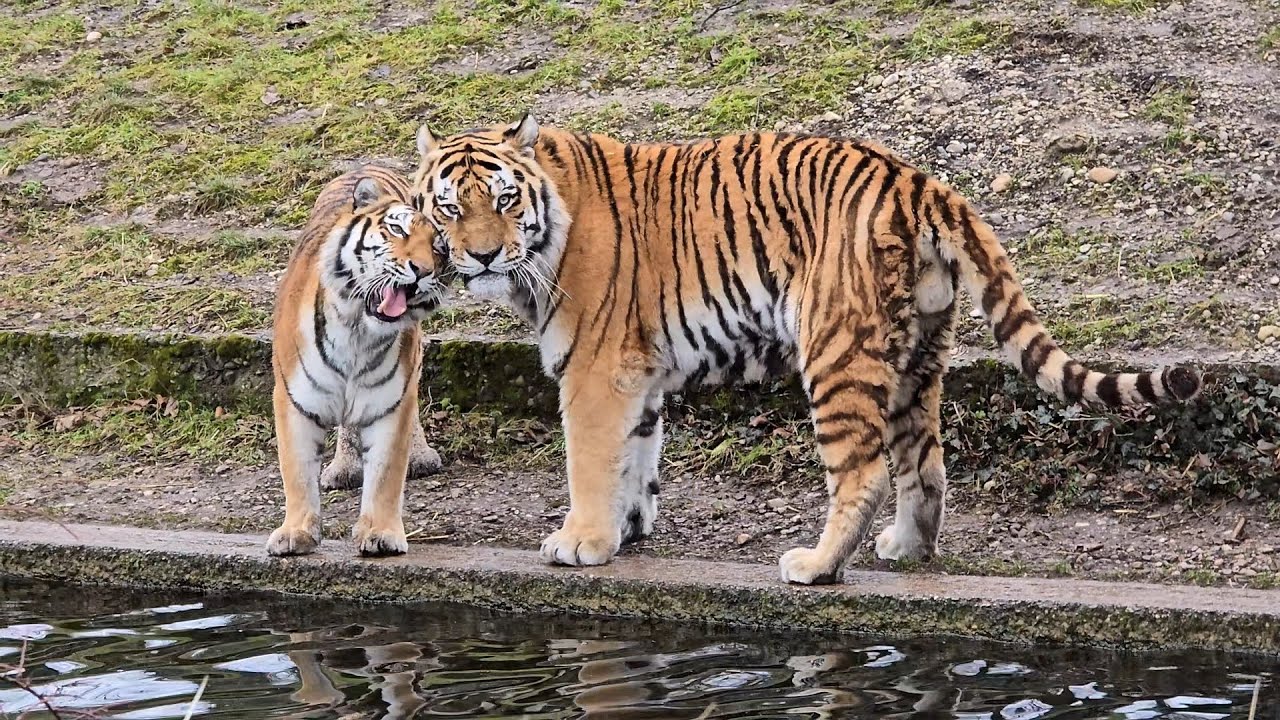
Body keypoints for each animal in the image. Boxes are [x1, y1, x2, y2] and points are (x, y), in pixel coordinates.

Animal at [266, 165, 445, 558]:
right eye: (398, 230)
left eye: (438, 247)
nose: (422, 270)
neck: (357, 330)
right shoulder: (293, 398)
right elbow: (296, 471)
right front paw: (296, 532)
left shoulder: (391, 401)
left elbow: (386, 473)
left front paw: (380, 534)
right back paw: (344, 468)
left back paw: (421, 457)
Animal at [410, 115, 1201, 584]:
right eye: (449, 206)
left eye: (504, 201)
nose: (482, 256)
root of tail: (918, 178)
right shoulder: (640, 376)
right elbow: (636, 459)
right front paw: (628, 533)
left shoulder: (595, 372)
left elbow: (589, 462)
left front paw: (581, 542)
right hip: (919, 355)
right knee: (926, 465)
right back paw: (906, 550)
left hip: (837, 352)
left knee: (864, 471)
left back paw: (816, 565)